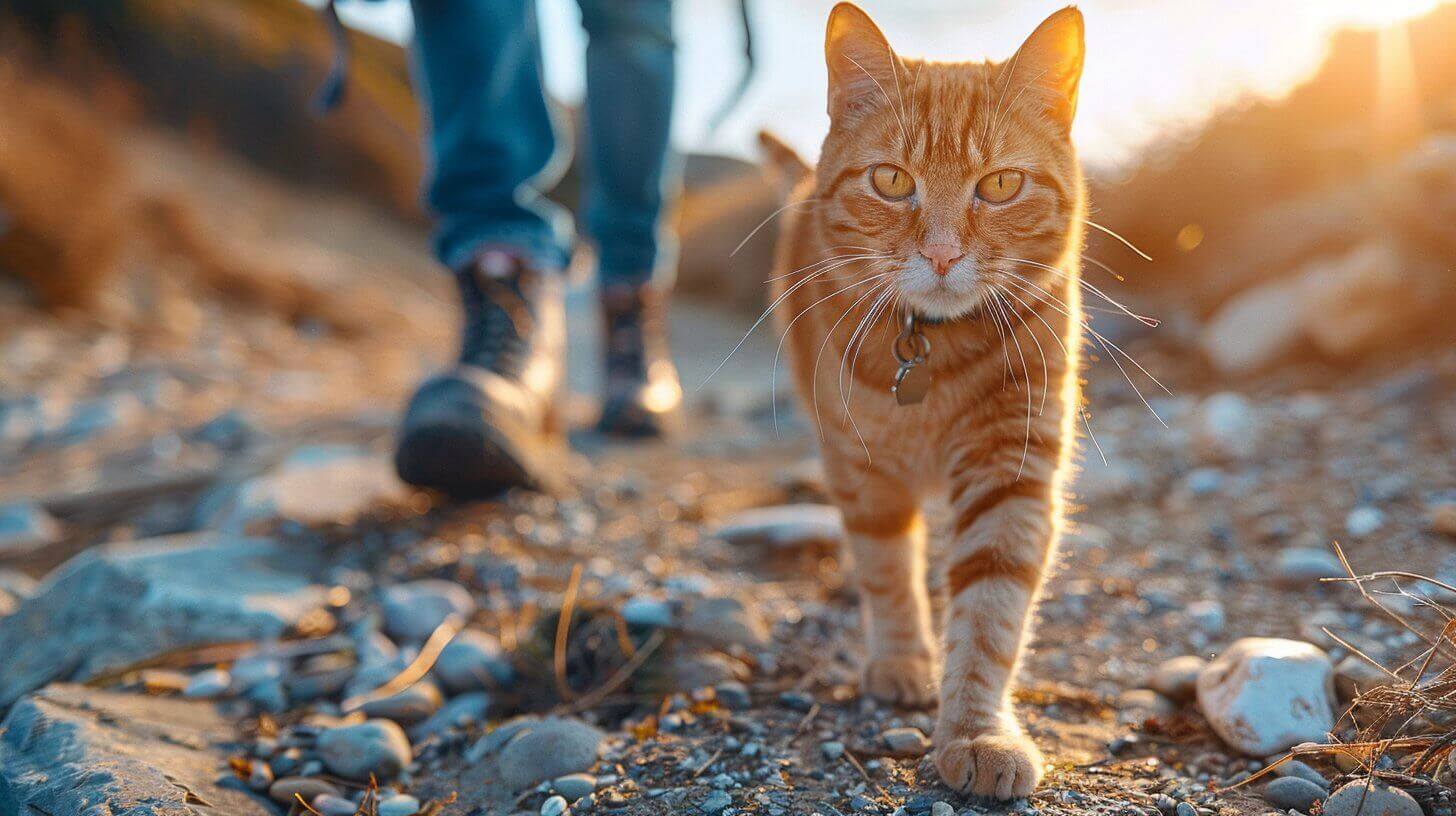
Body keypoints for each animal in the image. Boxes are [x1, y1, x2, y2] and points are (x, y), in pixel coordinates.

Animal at [757, 3, 1089, 798]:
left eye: (1000, 185)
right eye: (889, 180)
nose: (941, 254)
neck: (936, 352)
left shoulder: (1012, 463)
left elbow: (992, 608)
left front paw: (975, 731)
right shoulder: (862, 467)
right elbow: (887, 571)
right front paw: (905, 660)